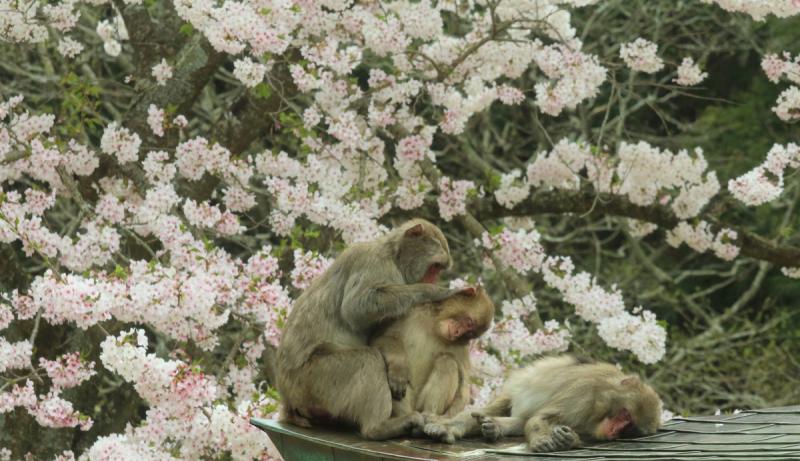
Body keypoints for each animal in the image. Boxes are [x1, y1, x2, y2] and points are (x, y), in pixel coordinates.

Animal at [276, 217, 468, 440]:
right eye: (435, 267)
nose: (435, 279)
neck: (393, 255)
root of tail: (288, 401)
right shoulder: (375, 263)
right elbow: (356, 307)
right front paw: (433, 291)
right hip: (312, 380)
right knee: (369, 359)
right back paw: (378, 428)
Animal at [368, 284, 494, 416]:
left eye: (469, 333)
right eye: (469, 323)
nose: (457, 333)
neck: (435, 328)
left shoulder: (461, 348)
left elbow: (463, 389)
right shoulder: (412, 312)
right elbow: (383, 338)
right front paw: (398, 369)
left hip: (419, 404)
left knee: (447, 361)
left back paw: (428, 413)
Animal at [424, 354, 664, 452]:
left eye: (629, 427)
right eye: (625, 415)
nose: (614, 430)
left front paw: (568, 440)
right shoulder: (582, 393)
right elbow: (540, 418)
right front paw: (542, 440)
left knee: (520, 420)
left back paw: (494, 427)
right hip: (514, 390)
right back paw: (448, 427)